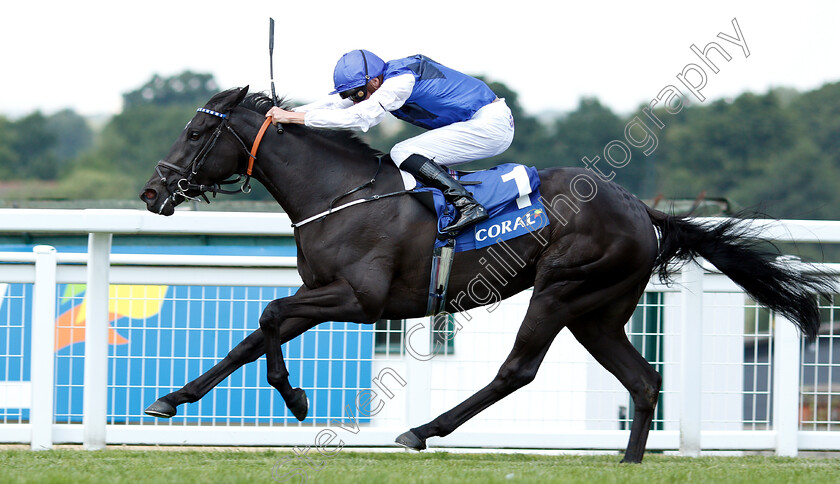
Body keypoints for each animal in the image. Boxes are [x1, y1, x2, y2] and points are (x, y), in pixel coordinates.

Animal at [139, 87, 832, 462]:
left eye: (195, 132)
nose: (152, 192)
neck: (340, 192)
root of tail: (642, 209)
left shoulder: (360, 300)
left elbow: (269, 316)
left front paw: (294, 395)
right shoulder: (321, 290)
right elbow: (253, 337)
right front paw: (172, 399)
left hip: (560, 290)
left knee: (517, 369)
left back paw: (422, 431)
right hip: (598, 311)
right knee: (642, 380)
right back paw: (630, 461)